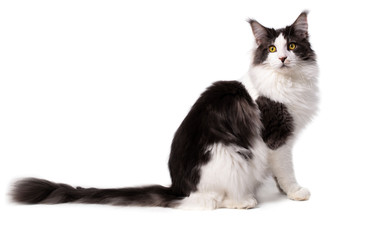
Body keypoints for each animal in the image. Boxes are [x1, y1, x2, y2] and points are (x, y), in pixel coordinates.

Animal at [11, 11, 318, 210]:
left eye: (291, 46)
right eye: (271, 49)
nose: (282, 58)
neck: (289, 82)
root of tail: (177, 187)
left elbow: (280, 174)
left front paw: (283, 192)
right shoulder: (276, 139)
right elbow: (286, 171)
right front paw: (295, 192)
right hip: (232, 155)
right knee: (214, 200)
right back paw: (245, 201)